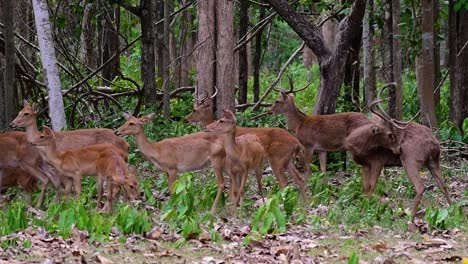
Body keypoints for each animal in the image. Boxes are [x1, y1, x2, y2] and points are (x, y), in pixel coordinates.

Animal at [346, 85, 452, 219]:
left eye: (392, 133)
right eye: (389, 134)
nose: (398, 149)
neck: (358, 146)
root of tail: (435, 143)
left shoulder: (378, 161)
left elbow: (371, 187)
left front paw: (366, 212)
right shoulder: (364, 165)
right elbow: (365, 188)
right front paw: (362, 209)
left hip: (410, 160)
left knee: (421, 187)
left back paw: (410, 216)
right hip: (433, 161)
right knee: (443, 185)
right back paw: (453, 211)